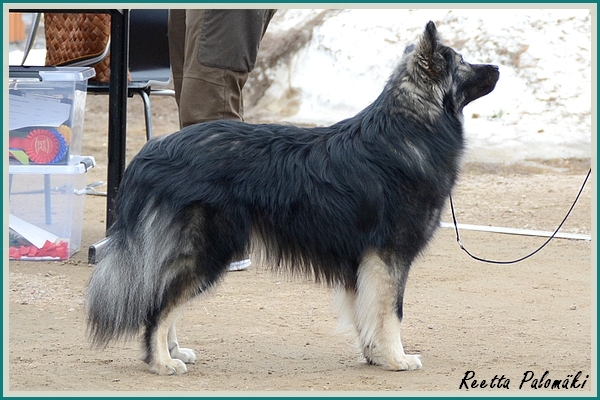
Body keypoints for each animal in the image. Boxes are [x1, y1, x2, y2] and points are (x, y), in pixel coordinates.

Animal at [85, 21, 499, 375]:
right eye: (463, 61)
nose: (496, 68)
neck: (411, 127)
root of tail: (150, 153)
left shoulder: (363, 262)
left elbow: (367, 313)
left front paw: (375, 355)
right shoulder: (388, 256)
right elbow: (391, 312)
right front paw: (397, 359)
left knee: (163, 296)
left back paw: (173, 351)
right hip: (208, 251)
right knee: (158, 306)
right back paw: (161, 361)